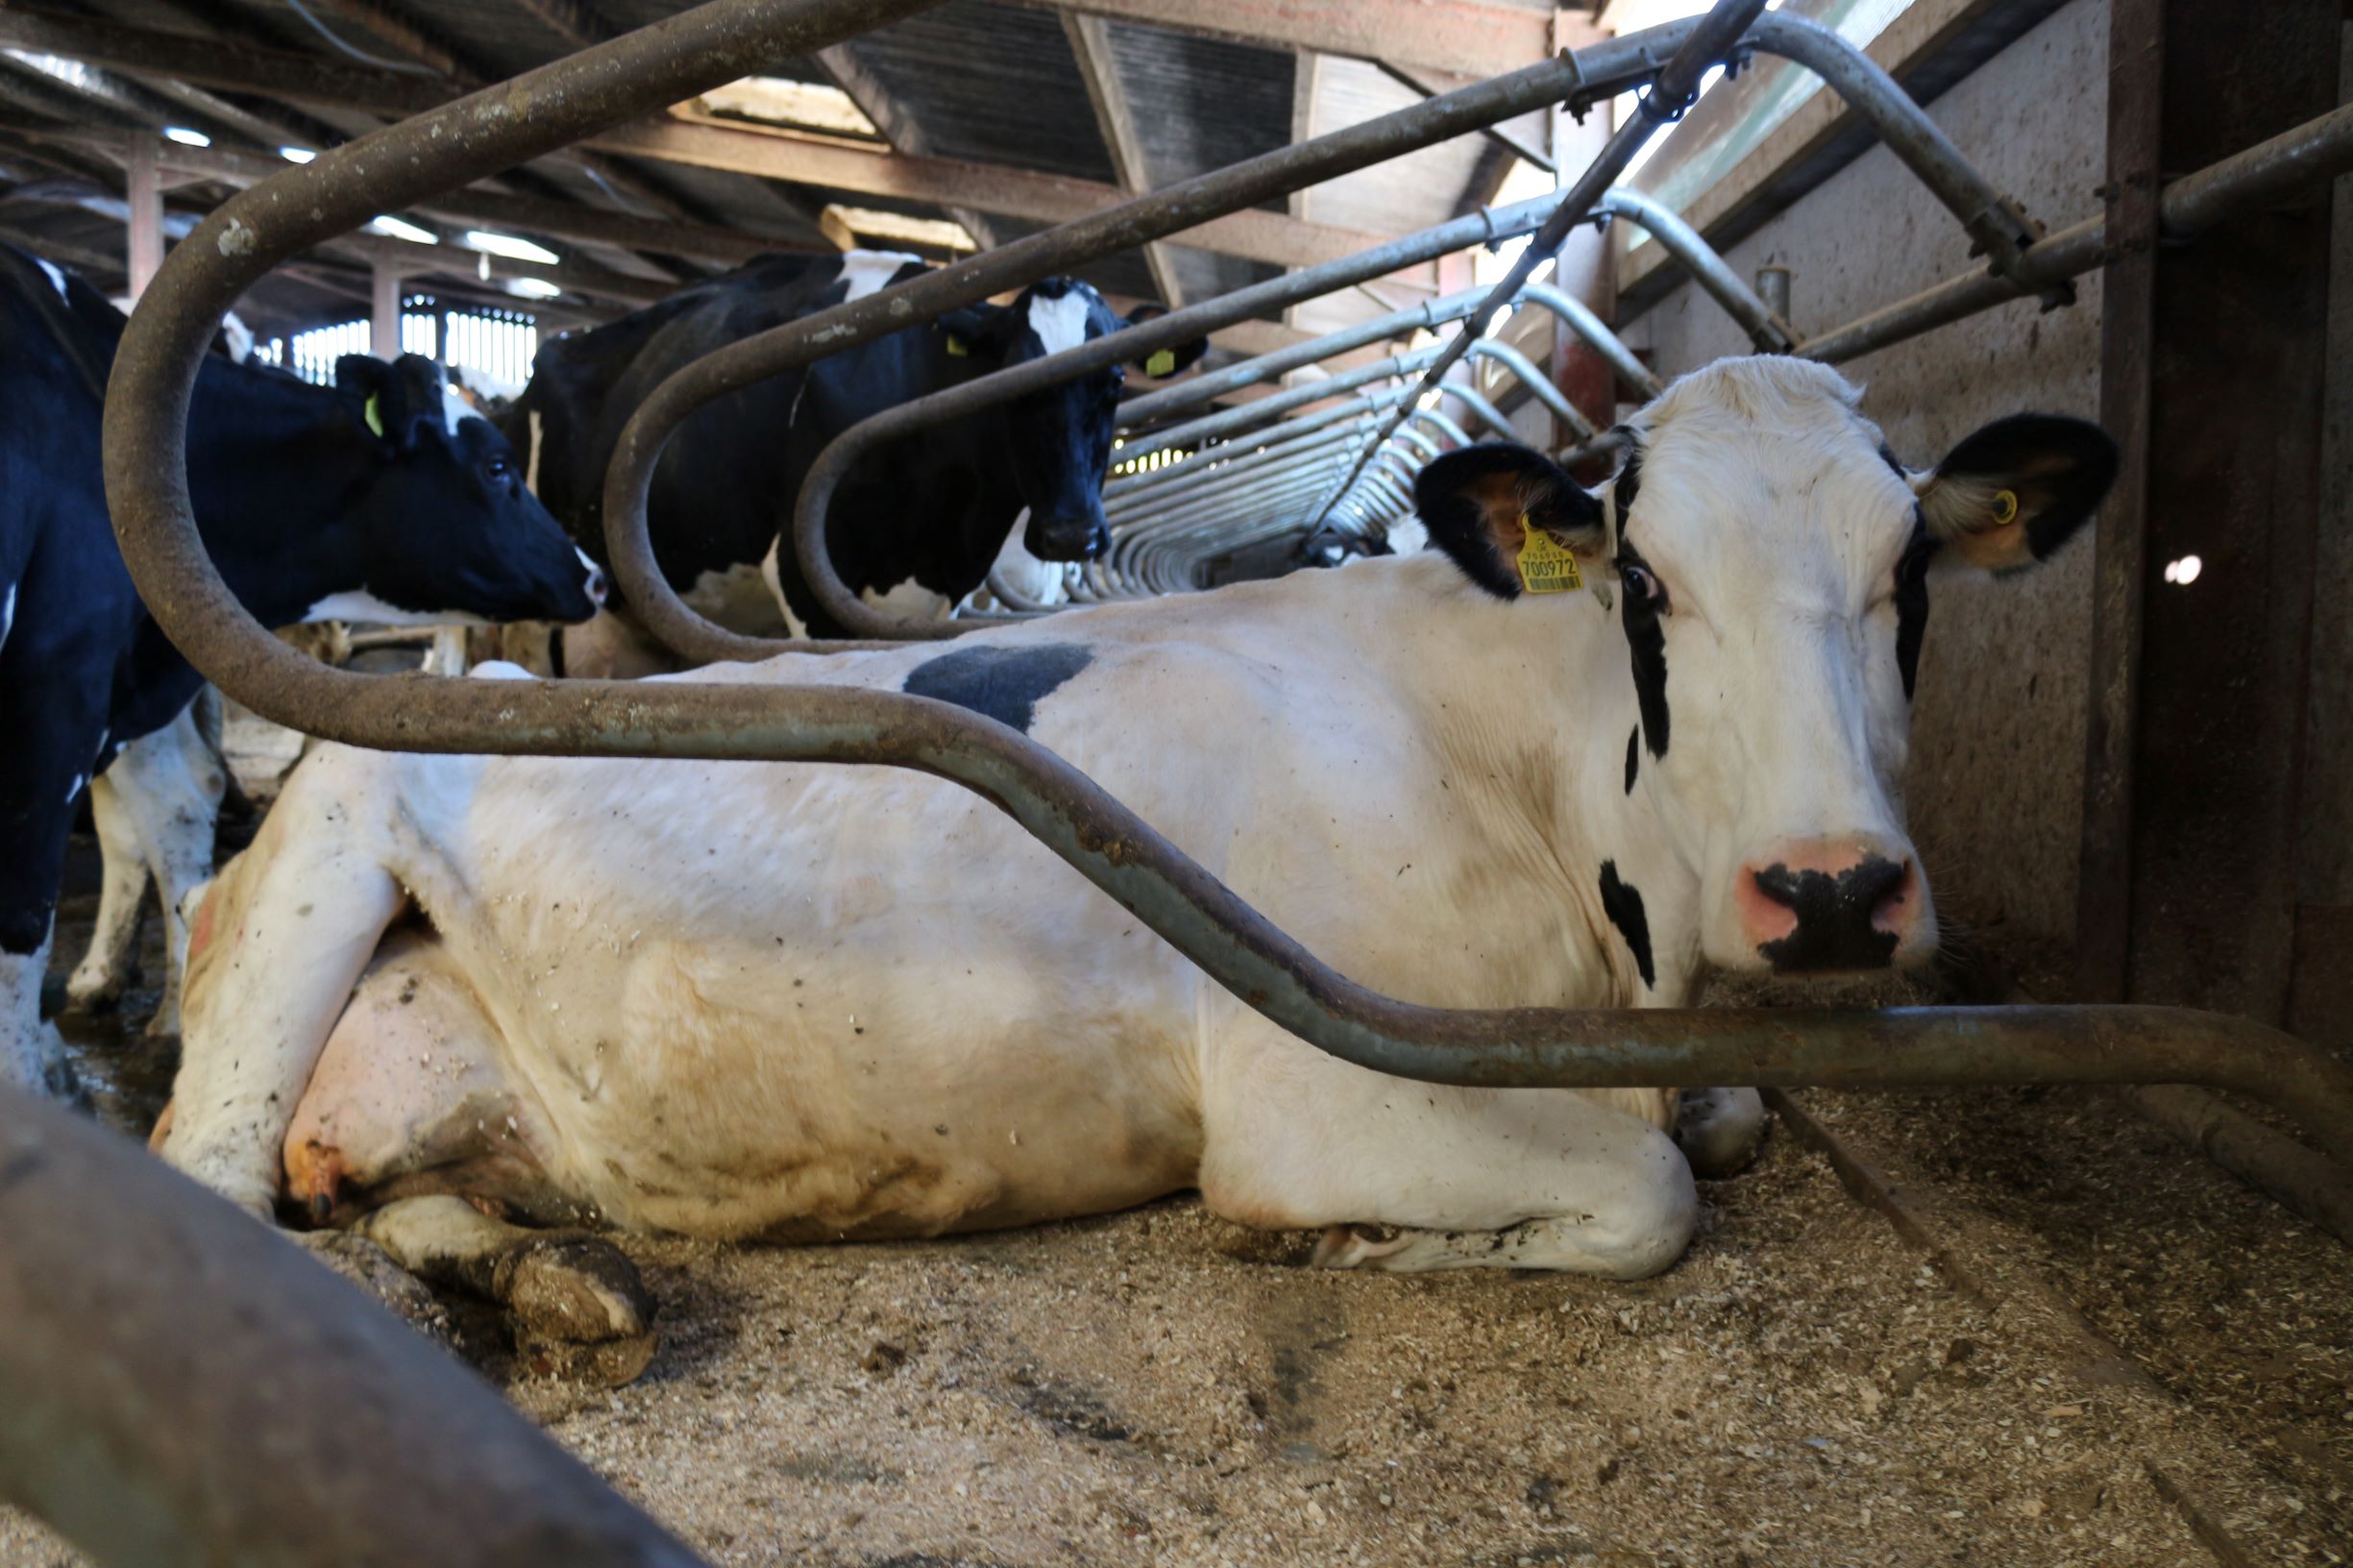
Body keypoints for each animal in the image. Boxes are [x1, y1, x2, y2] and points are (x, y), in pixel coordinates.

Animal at [0, 244, 607, 1101]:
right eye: (496, 466)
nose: (591, 575)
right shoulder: (60, 686)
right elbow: (22, 918)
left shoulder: (84, 675)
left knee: (174, 804)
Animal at [152, 358, 2112, 1351]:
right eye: (1642, 579)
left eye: (1910, 572)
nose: (1833, 890)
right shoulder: (1313, 1081)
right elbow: (1651, 1194)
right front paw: (1352, 1255)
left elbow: (1720, 1127)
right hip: (325, 855)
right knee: (217, 1188)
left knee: (403, 1196)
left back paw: (563, 1283)